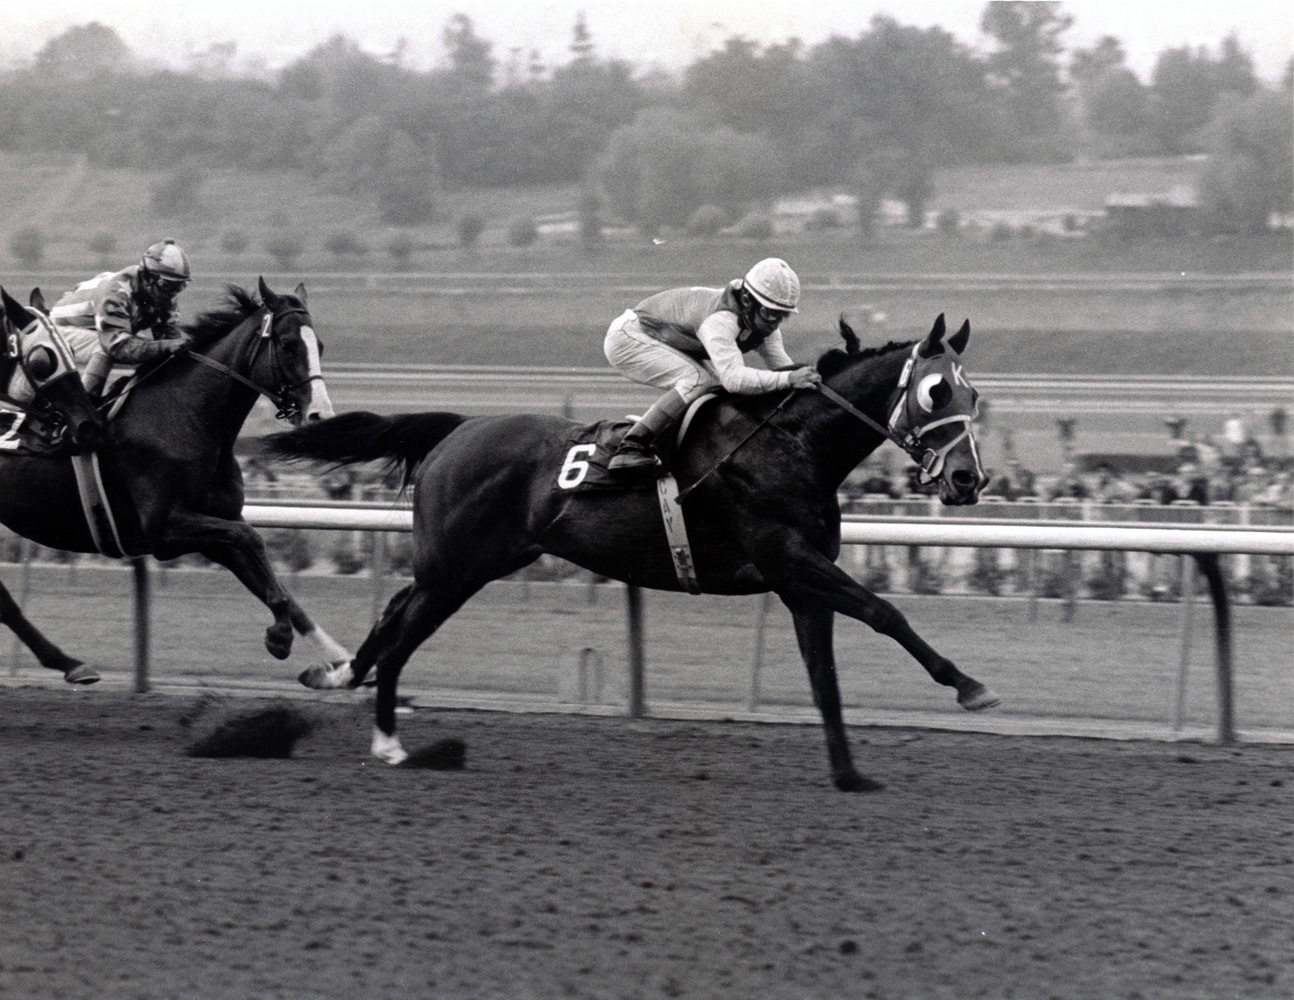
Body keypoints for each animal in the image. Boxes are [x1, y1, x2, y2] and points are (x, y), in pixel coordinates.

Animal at [0, 280, 354, 688]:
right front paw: (280, 637)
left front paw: (341, 662)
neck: (188, 418)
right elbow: (253, 539)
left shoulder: (216, 526)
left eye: (320, 346)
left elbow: (276, 585)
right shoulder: (164, 529)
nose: (320, 415)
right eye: (287, 344)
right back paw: (69, 663)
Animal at [260, 311, 988, 786]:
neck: (794, 447)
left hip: (469, 564)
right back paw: (388, 742)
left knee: (393, 618)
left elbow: (825, 677)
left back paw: (340, 677)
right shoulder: (789, 559)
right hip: (454, 569)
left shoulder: (799, 582)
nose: (968, 479)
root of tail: (457, 428)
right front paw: (969, 686)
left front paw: (848, 774)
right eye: (935, 390)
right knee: (401, 635)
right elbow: (884, 611)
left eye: (975, 391)